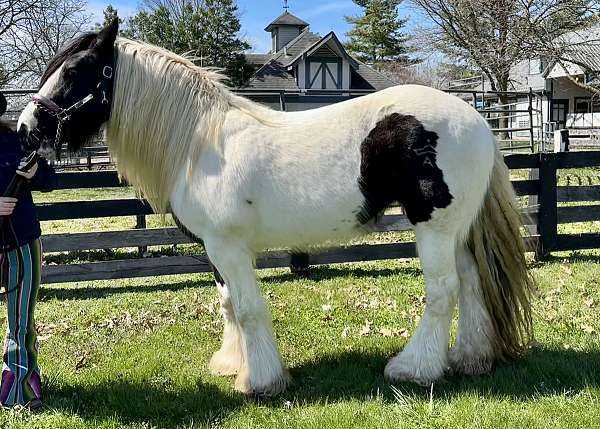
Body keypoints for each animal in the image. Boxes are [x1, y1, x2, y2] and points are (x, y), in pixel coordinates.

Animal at [18, 20, 536, 394]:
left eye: (74, 71)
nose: (26, 129)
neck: (200, 143)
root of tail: (477, 121)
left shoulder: (228, 247)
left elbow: (248, 309)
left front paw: (260, 382)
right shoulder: (215, 251)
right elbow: (228, 303)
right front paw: (231, 364)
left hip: (434, 229)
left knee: (444, 292)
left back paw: (414, 369)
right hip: (458, 230)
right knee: (472, 284)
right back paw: (470, 359)